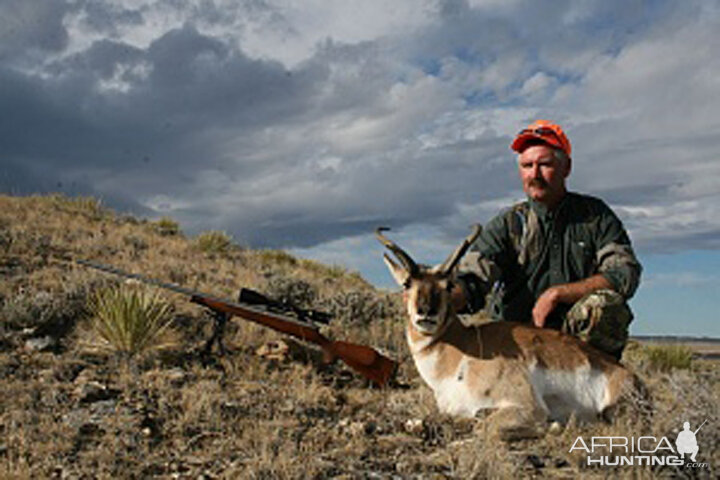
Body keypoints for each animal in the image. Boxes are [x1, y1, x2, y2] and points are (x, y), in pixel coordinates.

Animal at [380, 225, 644, 424]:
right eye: (407, 284)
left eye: (448, 286)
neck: (462, 352)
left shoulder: (529, 407)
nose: (427, 312)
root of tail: (630, 375)